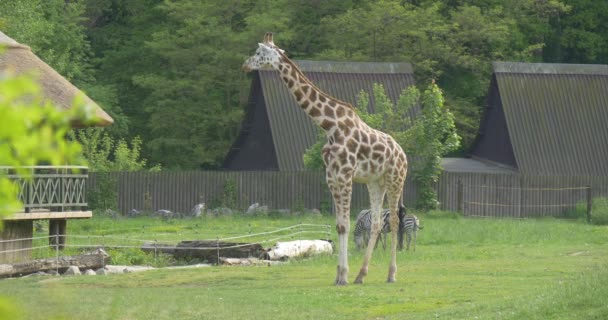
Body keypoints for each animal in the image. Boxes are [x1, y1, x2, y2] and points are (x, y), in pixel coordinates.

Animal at [242, 32, 408, 284]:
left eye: (260, 53)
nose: (245, 64)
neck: (329, 126)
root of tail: (403, 154)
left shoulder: (346, 175)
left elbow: (346, 225)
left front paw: (344, 276)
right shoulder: (331, 176)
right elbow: (339, 225)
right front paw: (340, 276)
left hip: (394, 180)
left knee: (396, 221)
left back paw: (391, 274)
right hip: (374, 183)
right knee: (378, 223)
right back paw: (362, 275)